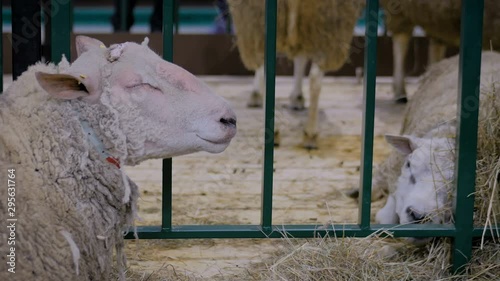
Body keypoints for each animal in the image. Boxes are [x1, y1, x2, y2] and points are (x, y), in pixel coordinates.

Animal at [227, 0, 364, 149]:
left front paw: (255, 94)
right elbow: (301, 58)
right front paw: (297, 97)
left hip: (256, 22)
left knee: (268, 74)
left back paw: (279, 132)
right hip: (328, 24)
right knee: (315, 78)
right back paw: (310, 134)